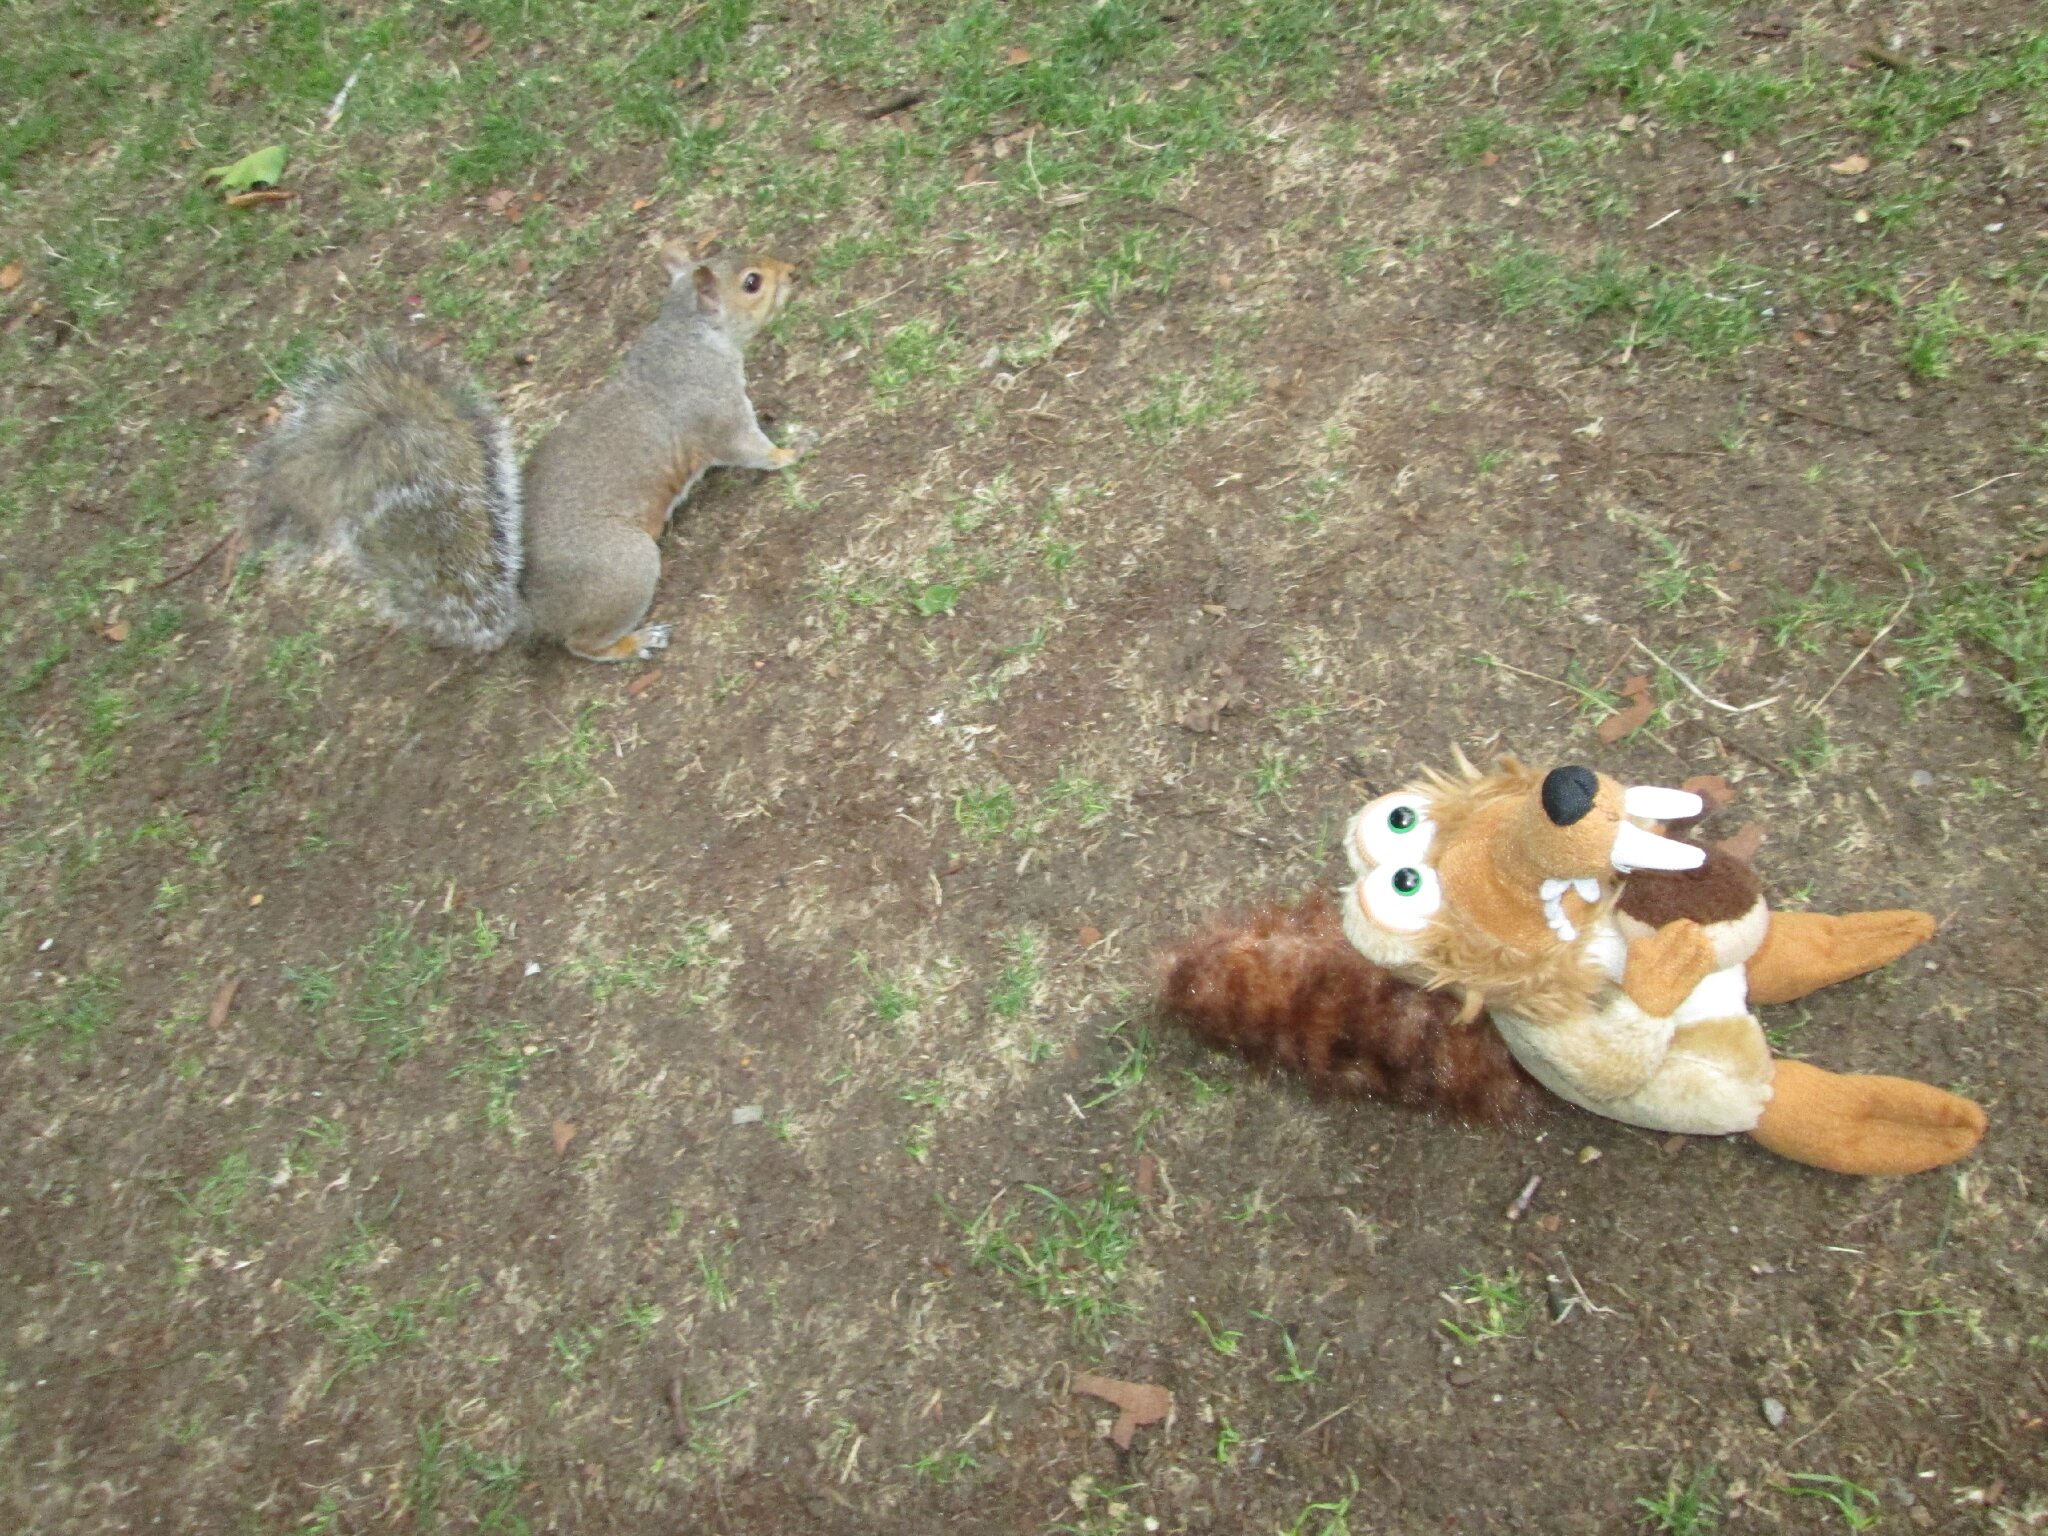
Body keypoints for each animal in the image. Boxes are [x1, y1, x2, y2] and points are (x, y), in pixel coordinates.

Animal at [243, 243, 802, 663]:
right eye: (752, 282)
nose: (794, 270)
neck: (691, 338)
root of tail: (529, 610)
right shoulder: (715, 412)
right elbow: (746, 447)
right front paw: (790, 453)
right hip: (624, 567)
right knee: (581, 644)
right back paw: (633, 642)